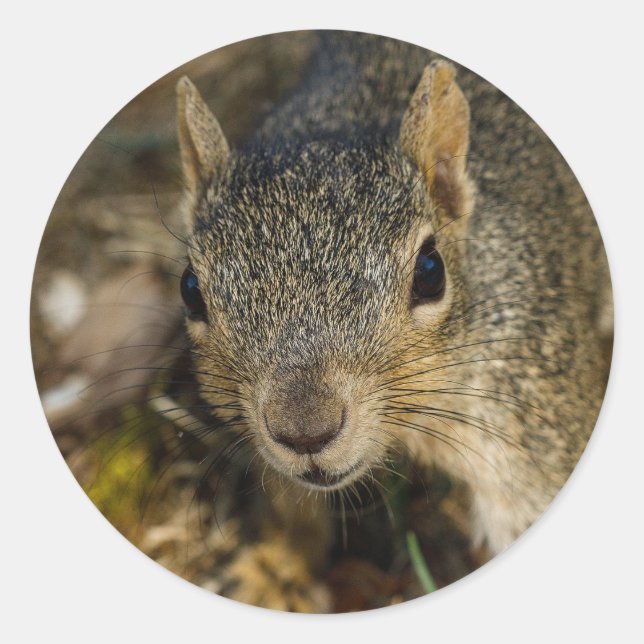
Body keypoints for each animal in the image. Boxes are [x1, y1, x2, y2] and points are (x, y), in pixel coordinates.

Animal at [173, 31, 612, 611]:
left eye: (431, 272)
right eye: (190, 290)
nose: (305, 432)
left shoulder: (531, 403)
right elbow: (289, 501)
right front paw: (274, 571)